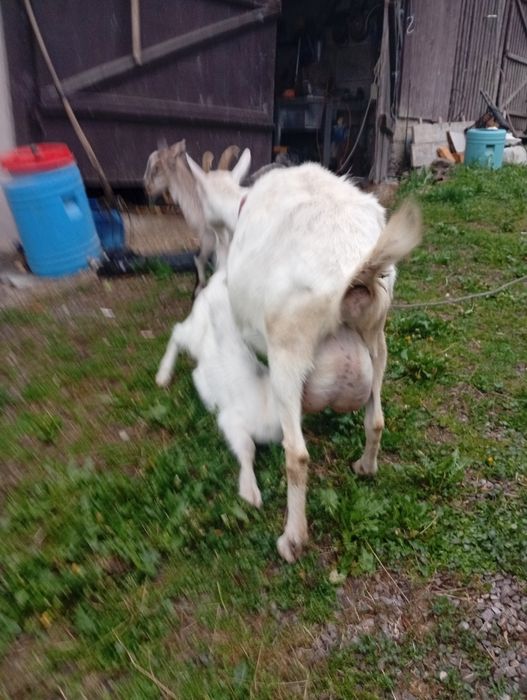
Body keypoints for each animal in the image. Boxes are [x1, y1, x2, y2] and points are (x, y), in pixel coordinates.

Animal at [186, 153, 422, 562]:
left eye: (201, 196)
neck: (241, 205)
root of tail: (354, 271)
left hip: (289, 349)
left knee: (296, 455)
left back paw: (292, 539)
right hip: (378, 340)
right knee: (376, 419)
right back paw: (365, 467)